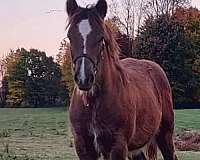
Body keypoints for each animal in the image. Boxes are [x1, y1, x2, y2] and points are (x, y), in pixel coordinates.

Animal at [66, 0, 177, 159]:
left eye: (101, 37)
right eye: (69, 36)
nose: (84, 78)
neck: (93, 103)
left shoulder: (117, 146)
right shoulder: (83, 146)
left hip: (165, 135)